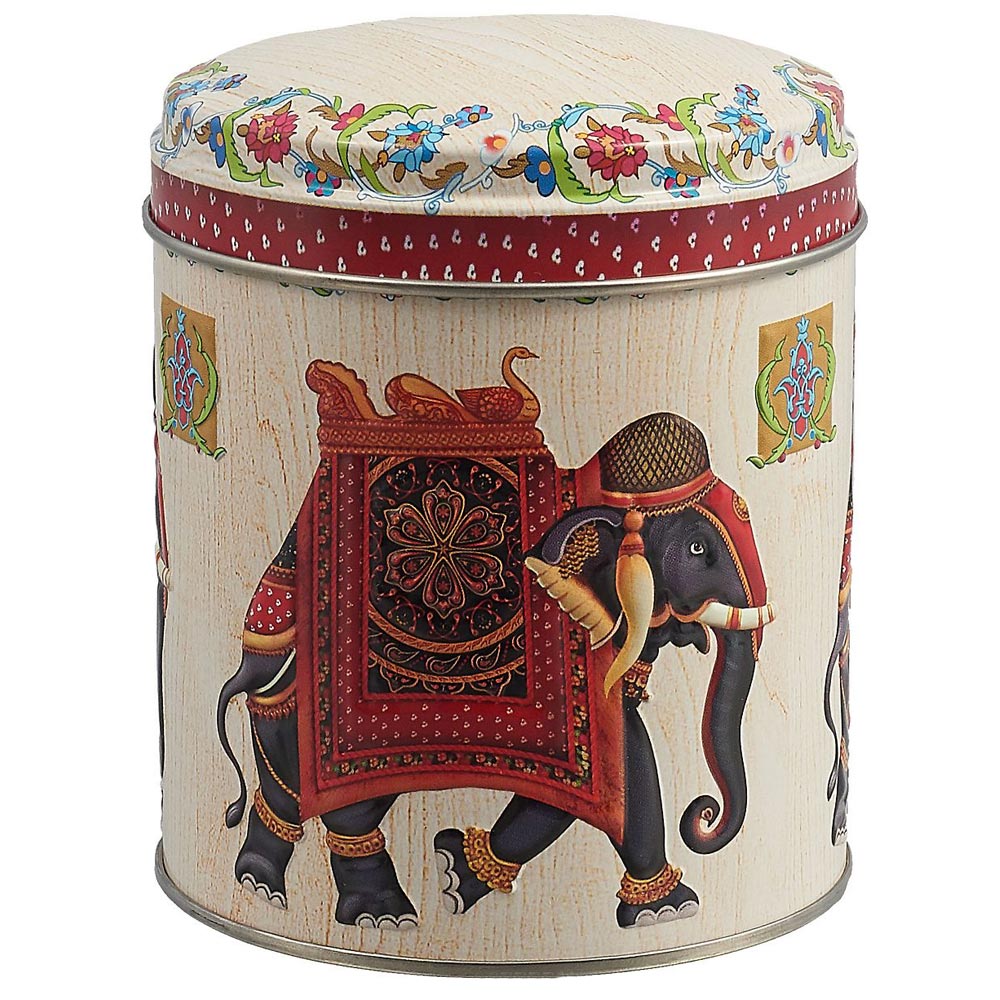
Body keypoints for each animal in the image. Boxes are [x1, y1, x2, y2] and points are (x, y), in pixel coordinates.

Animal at [216, 410, 773, 929]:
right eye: (699, 548)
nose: (702, 814)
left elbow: (616, 769)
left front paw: (455, 876)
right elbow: (621, 764)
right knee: (323, 784)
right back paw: (353, 909)